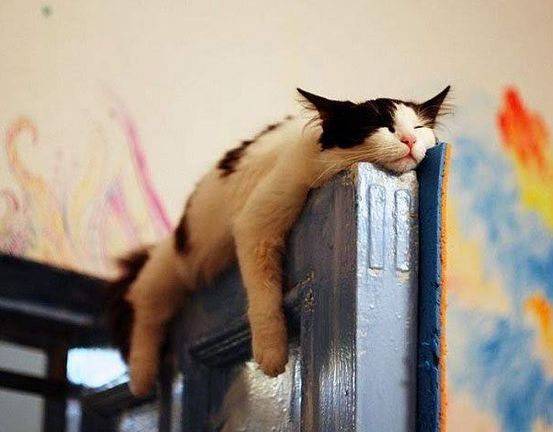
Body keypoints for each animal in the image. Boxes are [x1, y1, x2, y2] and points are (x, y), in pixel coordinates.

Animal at [106, 86, 448, 396]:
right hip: (172, 268)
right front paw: (271, 353)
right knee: (145, 306)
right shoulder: (256, 224)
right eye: (382, 127)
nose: (410, 140)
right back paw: (141, 377)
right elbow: (263, 297)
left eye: (419, 128)